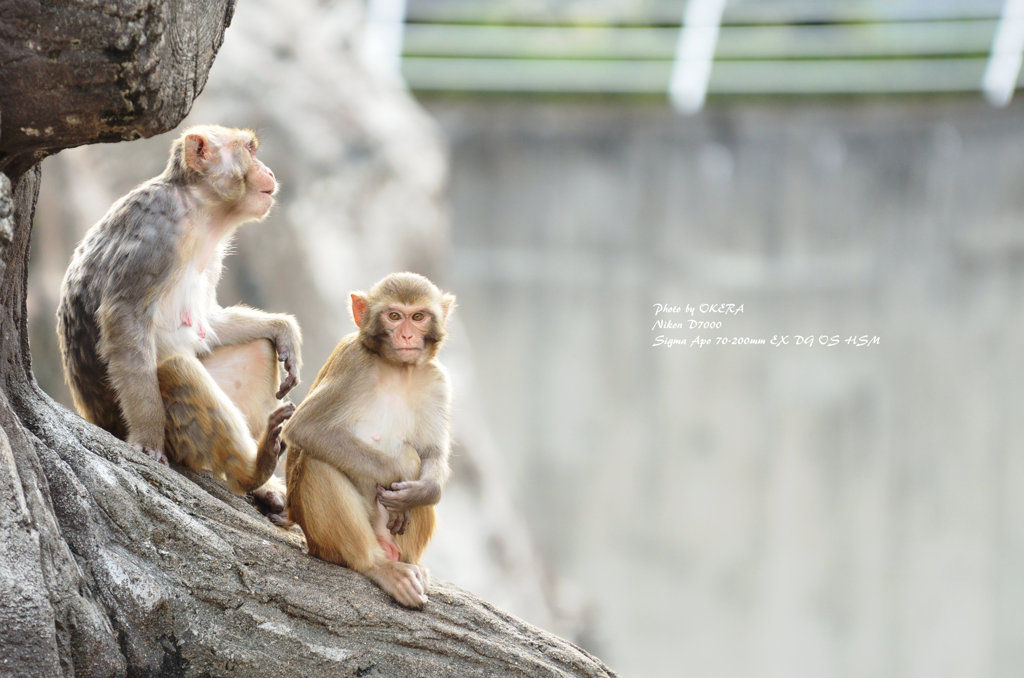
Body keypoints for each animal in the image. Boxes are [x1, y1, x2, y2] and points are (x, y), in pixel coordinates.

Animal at [57, 123, 299, 516]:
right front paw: (147, 439)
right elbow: (124, 319)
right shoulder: (154, 234)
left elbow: (210, 321)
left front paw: (283, 329)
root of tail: (100, 421)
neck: (200, 210)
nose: (270, 171)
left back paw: (264, 484)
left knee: (259, 351)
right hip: (178, 437)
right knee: (178, 369)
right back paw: (253, 468)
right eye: (249, 149)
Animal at [282, 270, 454, 610]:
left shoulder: (436, 380)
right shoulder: (353, 363)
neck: (397, 370)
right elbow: (306, 428)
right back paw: (380, 567)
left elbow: (431, 454)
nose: (406, 337)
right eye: (394, 316)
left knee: (414, 456)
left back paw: (411, 565)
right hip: (325, 543)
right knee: (317, 461)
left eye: (418, 316)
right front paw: (396, 474)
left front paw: (419, 491)